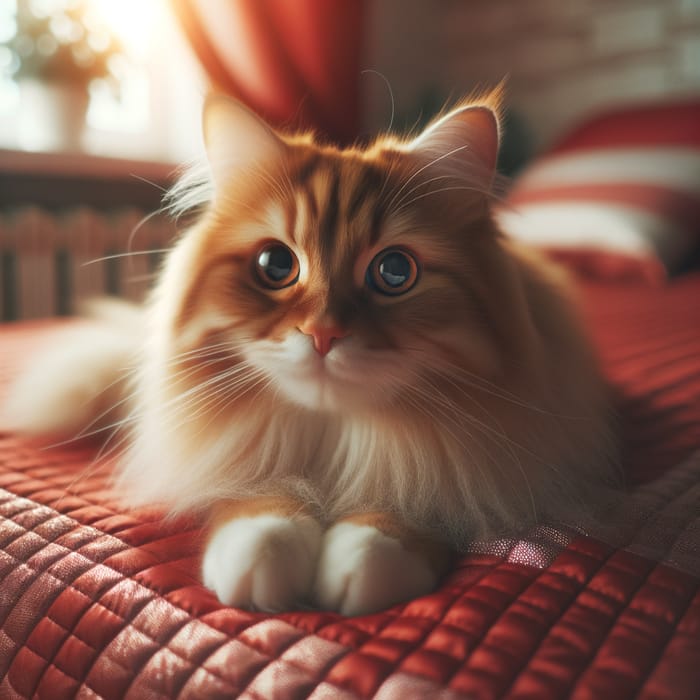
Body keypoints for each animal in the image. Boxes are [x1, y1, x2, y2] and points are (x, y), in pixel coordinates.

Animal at [0, 89, 616, 616]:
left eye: (395, 272)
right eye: (276, 265)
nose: (323, 334)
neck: (335, 440)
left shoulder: (471, 467)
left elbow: (414, 504)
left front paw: (365, 557)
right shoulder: (237, 455)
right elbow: (255, 501)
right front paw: (261, 553)